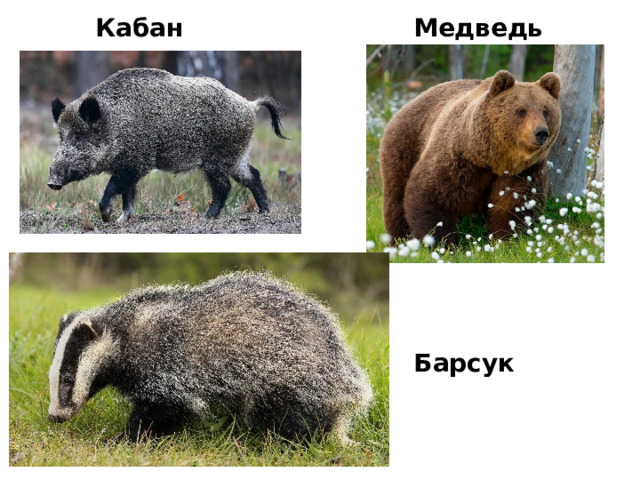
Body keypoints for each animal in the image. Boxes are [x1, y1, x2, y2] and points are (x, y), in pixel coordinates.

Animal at [379, 70, 561, 244]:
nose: (541, 133)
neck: (494, 160)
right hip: (404, 145)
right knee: (396, 196)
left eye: (546, 111)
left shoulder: (524, 171)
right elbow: (430, 194)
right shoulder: (459, 158)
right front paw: (443, 243)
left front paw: (505, 239)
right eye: (521, 111)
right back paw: (399, 238)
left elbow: (516, 204)